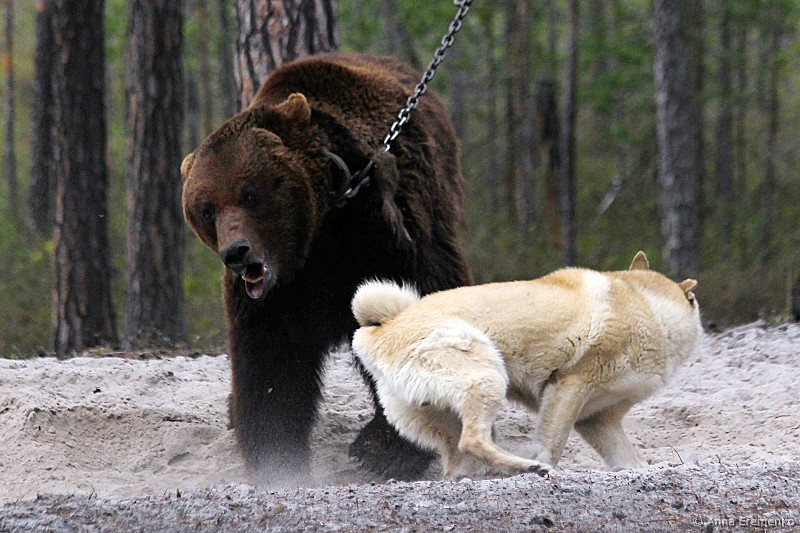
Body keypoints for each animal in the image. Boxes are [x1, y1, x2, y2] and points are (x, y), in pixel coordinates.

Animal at [181, 53, 472, 483]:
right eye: (206, 209)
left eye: (250, 193)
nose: (236, 252)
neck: (318, 232)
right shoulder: (275, 295)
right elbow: (271, 363)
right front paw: (277, 458)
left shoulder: (379, 239)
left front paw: (384, 450)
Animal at [351, 252, 702, 479]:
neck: (648, 305)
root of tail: (384, 327)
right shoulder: (568, 389)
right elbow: (552, 445)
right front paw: (546, 464)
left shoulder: (597, 419)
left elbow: (631, 460)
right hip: (486, 377)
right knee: (473, 441)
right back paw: (529, 468)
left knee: (458, 465)